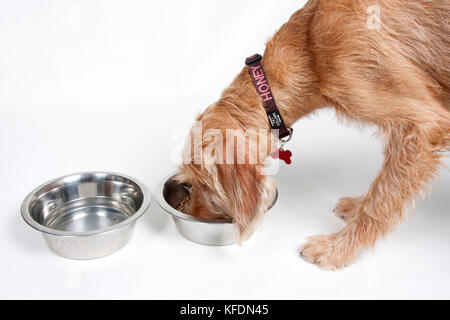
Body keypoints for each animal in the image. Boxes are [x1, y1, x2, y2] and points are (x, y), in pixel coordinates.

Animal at [178, 0, 448, 270]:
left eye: (202, 183)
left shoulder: (422, 125)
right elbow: (381, 187)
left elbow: (382, 197)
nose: (193, 213)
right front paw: (357, 206)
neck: (310, 46)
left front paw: (338, 248)